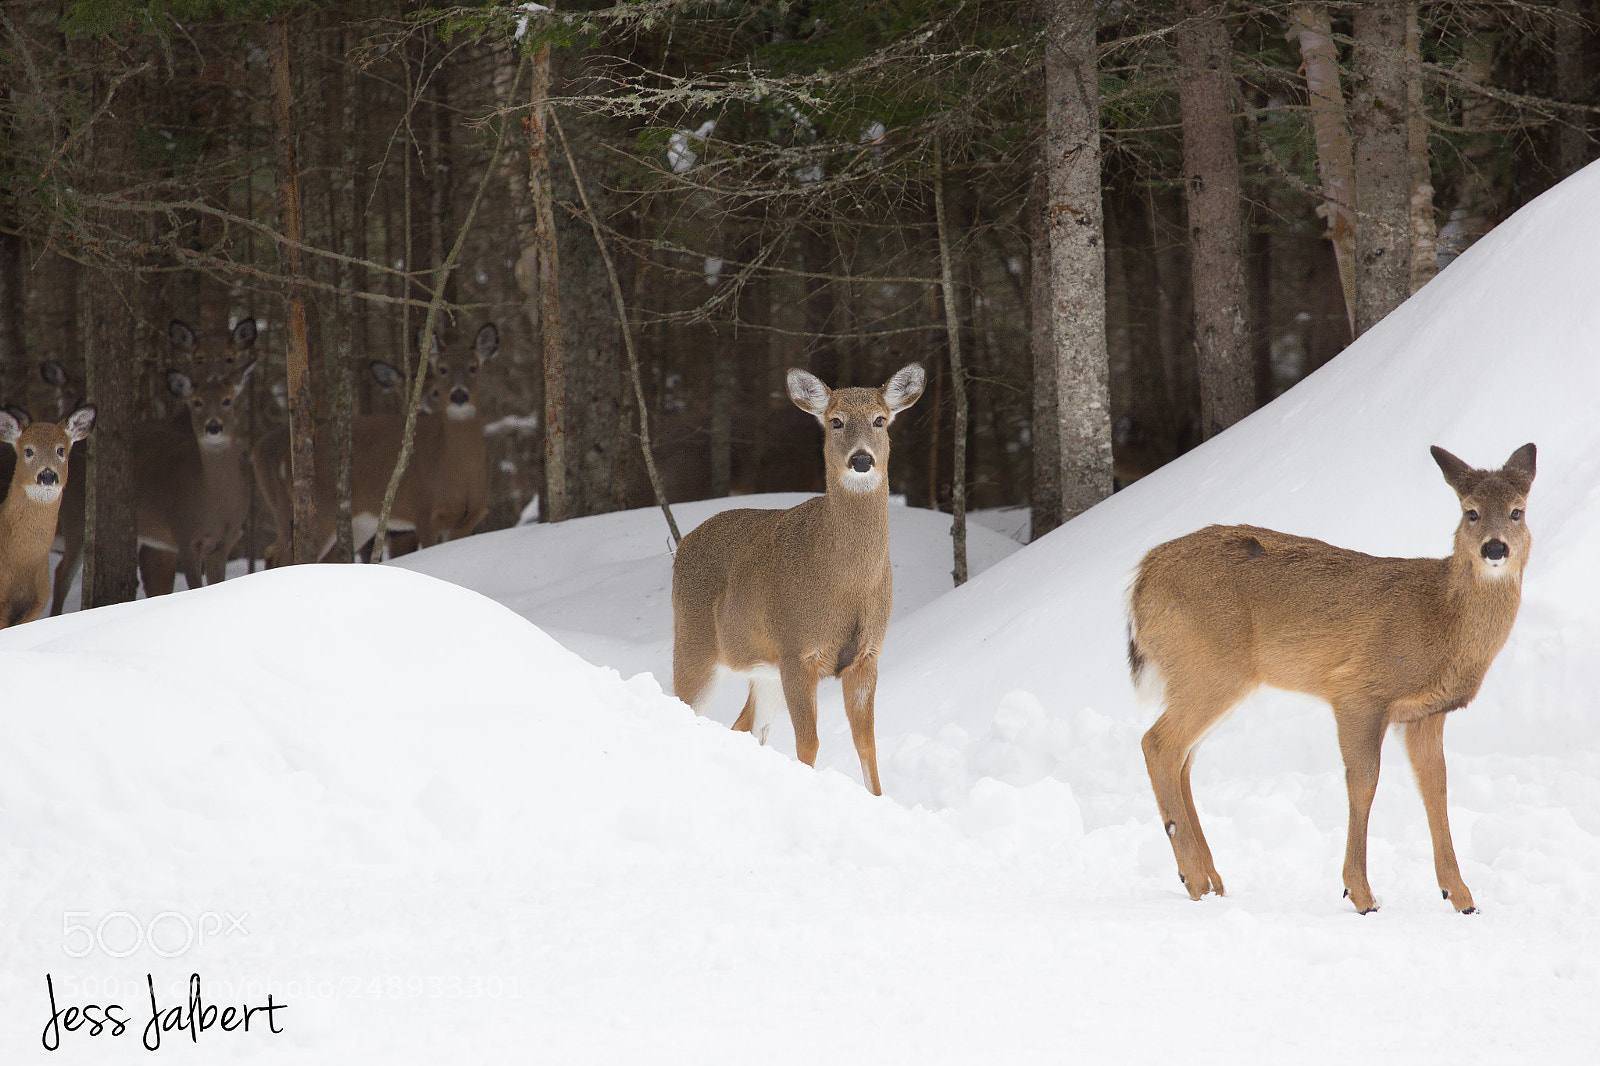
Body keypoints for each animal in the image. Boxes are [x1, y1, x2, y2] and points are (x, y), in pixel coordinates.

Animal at [252, 322, 497, 563]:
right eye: (442, 369)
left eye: (474, 367)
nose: (459, 395)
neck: (456, 471)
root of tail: (287, 459)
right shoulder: (425, 512)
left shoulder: (469, 517)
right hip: (320, 509)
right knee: (284, 555)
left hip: (360, 522)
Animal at [671, 363, 926, 796]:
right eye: (836, 421)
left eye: (880, 419)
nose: (862, 459)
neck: (849, 584)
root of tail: (682, 545)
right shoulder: (797, 649)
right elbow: (809, 744)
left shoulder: (867, 654)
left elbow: (866, 744)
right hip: (695, 641)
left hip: (764, 670)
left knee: (744, 726)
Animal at [1128, 443, 1537, 914]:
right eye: (1470, 512)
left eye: (1517, 511)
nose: (1494, 548)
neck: (1440, 617)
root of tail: (1141, 579)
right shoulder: (1358, 690)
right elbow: (1364, 782)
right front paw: (1361, 894)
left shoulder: (1425, 714)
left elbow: (1436, 789)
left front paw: (1462, 897)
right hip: (1208, 668)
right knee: (1158, 744)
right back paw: (1193, 878)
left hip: (1208, 679)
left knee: (1184, 759)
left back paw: (1213, 881)